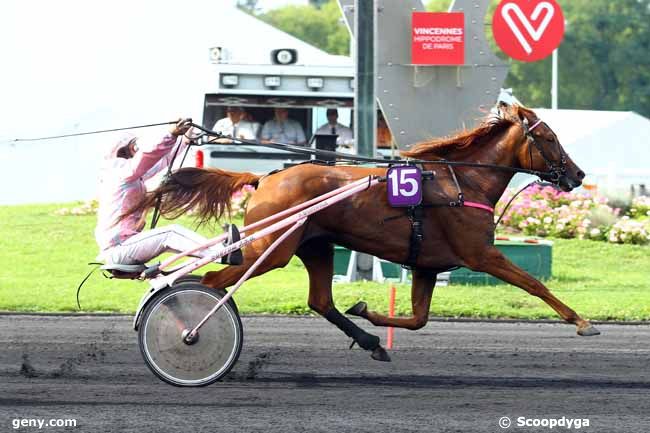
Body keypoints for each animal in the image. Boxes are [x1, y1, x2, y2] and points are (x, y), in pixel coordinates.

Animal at [132, 105, 596, 362]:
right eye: (550, 138)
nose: (577, 174)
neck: (464, 182)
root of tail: (266, 178)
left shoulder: (426, 265)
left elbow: (418, 319)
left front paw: (367, 312)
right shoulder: (480, 254)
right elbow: (535, 284)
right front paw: (583, 322)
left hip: (315, 246)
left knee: (320, 301)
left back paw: (371, 339)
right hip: (271, 248)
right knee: (212, 281)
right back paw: (191, 329)